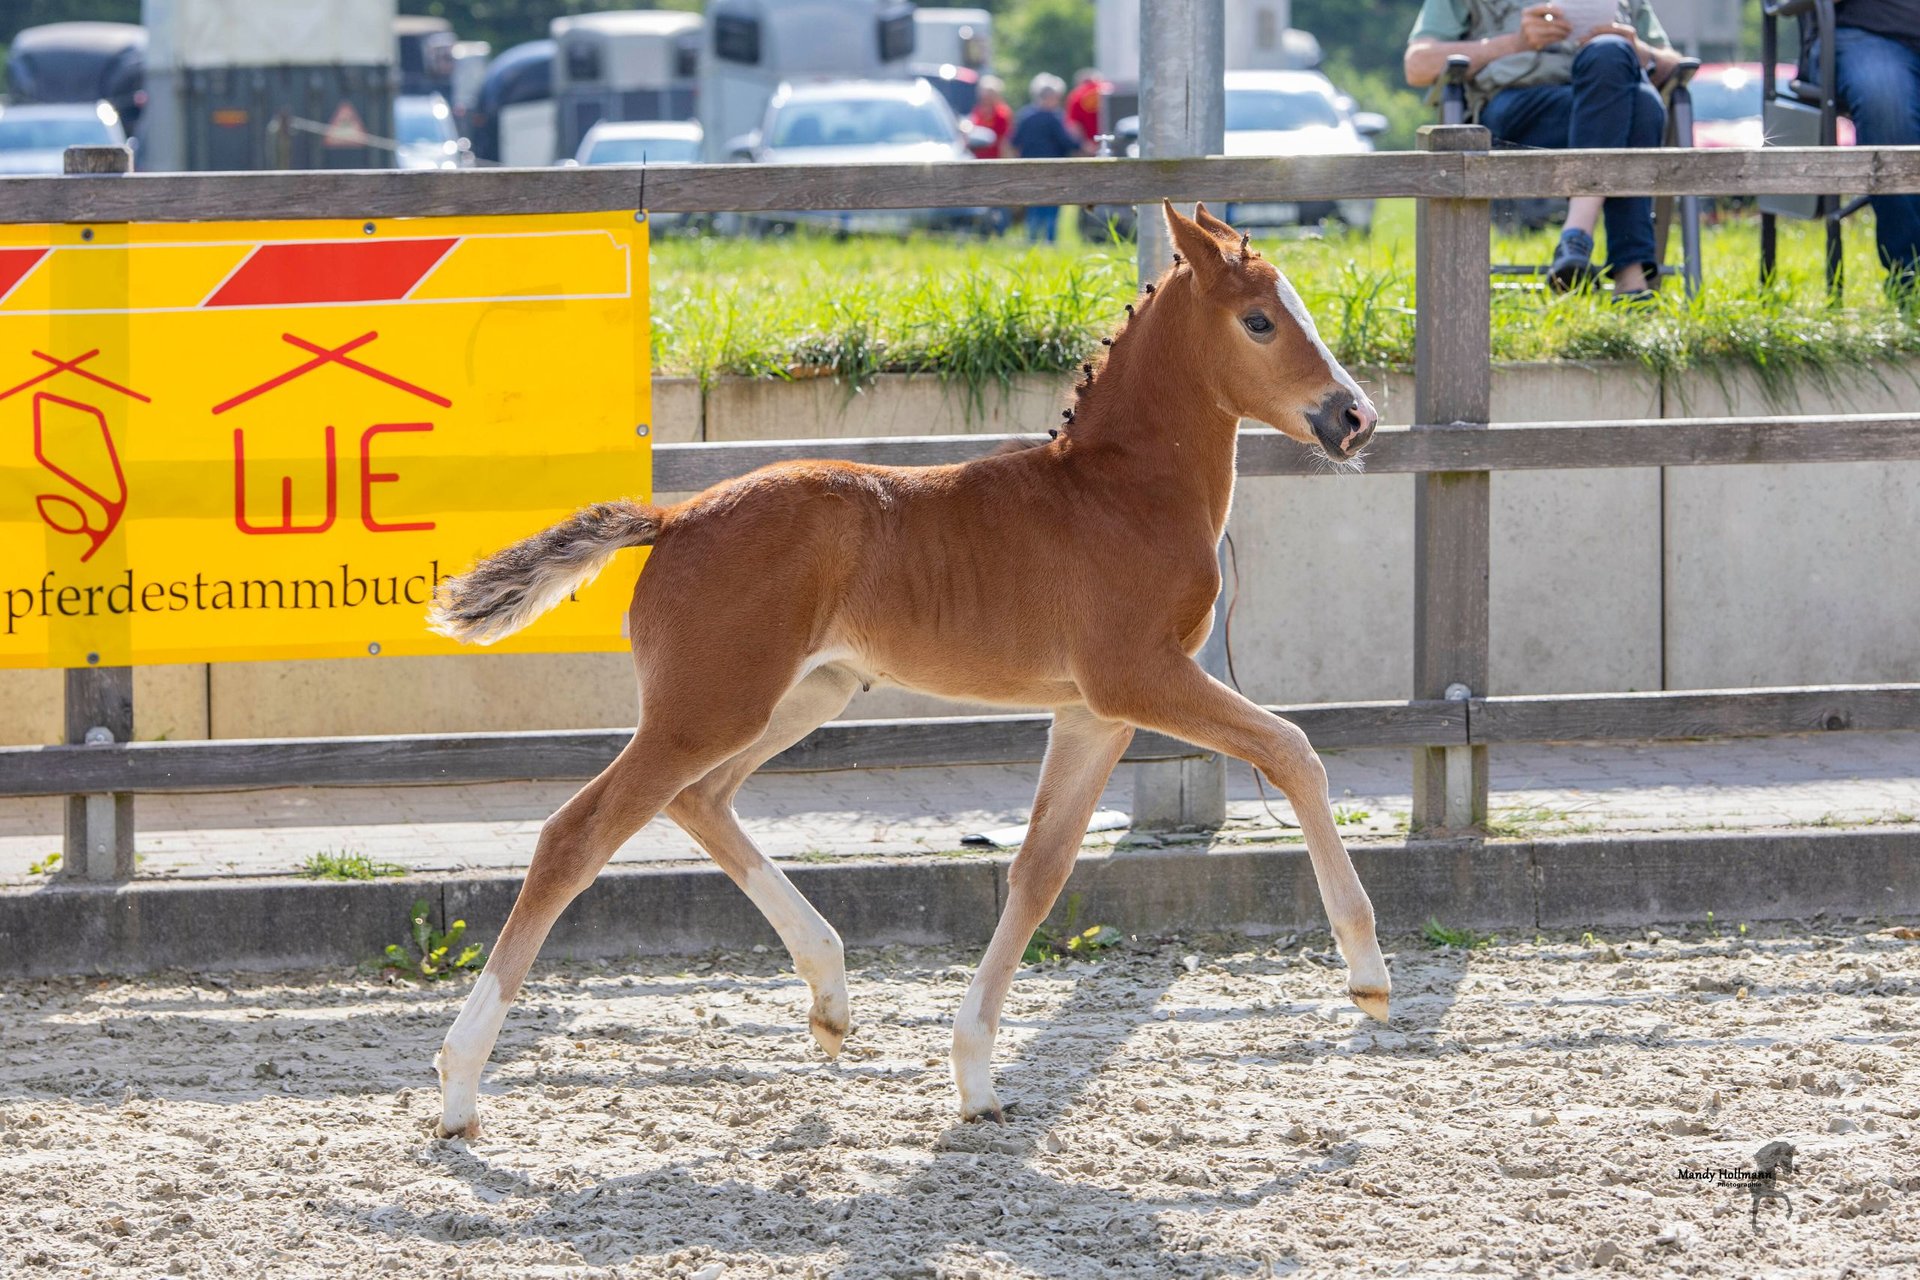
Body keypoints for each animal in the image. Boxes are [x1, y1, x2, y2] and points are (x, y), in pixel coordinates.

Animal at [428, 205, 1390, 1136]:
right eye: (1260, 320)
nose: (1355, 419)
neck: (1121, 495)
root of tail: (674, 518)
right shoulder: (1140, 679)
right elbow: (1293, 750)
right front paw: (1368, 974)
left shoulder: (1094, 712)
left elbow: (1041, 869)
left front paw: (974, 1077)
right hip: (710, 706)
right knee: (576, 836)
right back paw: (459, 1086)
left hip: (793, 698)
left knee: (698, 799)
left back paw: (830, 996)